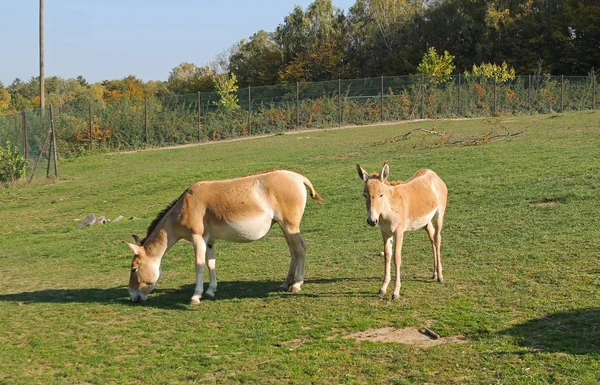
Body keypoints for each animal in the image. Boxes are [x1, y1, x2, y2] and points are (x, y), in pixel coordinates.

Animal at [126, 170, 322, 304]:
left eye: (134, 268)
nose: (133, 297)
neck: (184, 206)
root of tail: (298, 177)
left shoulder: (197, 238)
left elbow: (199, 266)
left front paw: (195, 296)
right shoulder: (209, 241)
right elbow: (211, 263)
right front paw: (211, 291)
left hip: (290, 226)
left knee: (301, 249)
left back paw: (296, 285)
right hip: (285, 227)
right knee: (294, 251)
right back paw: (286, 284)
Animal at [356, 164, 446, 298]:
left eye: (381, 195)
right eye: (364, 195)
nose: (372, 221)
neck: (389, 210)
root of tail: (433, 174)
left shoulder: (399, 232)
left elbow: (397, 258)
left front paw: (396, 292)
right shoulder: (385, 233)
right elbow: (387, 256)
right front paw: (383, 288)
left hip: (439, 215)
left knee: (437, 239)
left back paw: (440, 276)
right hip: (426, 222)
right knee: (432, 238)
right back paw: (434, 274)